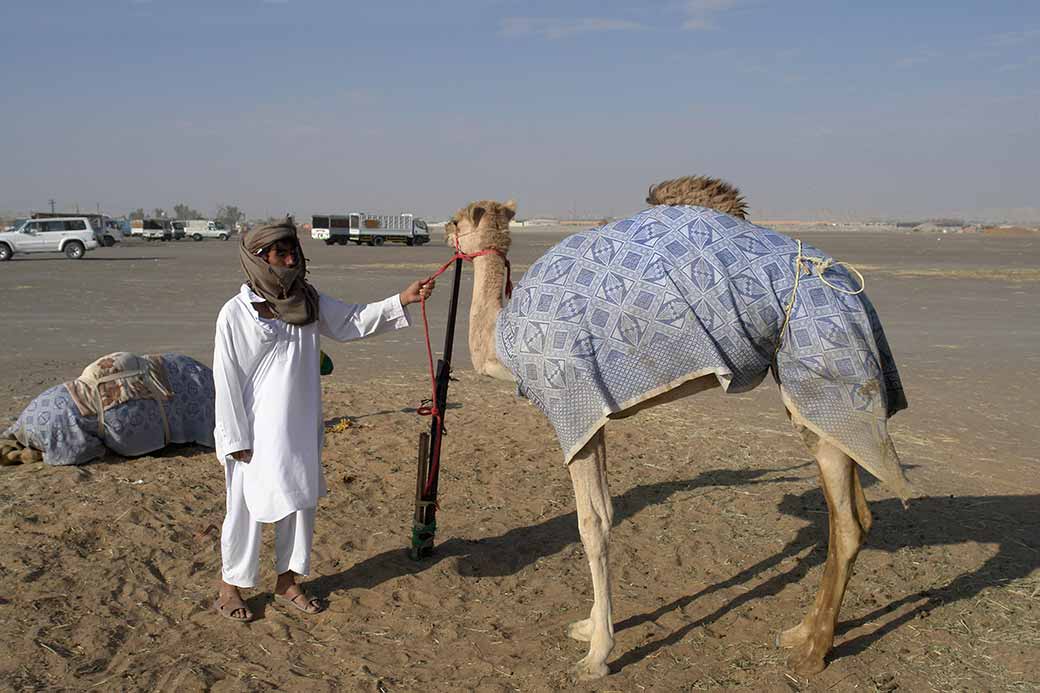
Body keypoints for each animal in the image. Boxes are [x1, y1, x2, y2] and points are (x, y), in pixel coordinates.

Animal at [444, 176, 910, 680]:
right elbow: (607, 511)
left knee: (847, 523)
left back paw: (811, 654)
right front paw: (589, 628)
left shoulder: (572, 405)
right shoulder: (596, 416)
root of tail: (850, 287)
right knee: (853, 508)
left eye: (454, 220)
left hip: (827, 372)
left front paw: (597, 656)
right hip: (812, 403)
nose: (445, 234)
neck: (503, 345)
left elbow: (591, 524)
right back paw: (799, 634)